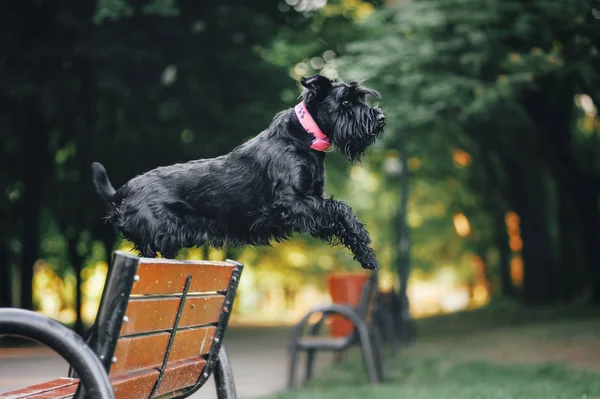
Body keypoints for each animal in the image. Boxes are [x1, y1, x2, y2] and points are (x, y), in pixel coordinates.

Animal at [92, 74, 386, 270]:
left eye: (359, 97)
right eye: (346, 101)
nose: (380, 118)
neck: (302, 136)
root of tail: (124, 189)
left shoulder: (311, 202)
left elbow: (338, 215)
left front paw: (365, 253)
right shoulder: (291, 204)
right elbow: (341, 209)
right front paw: (367, 250)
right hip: (157, 238)